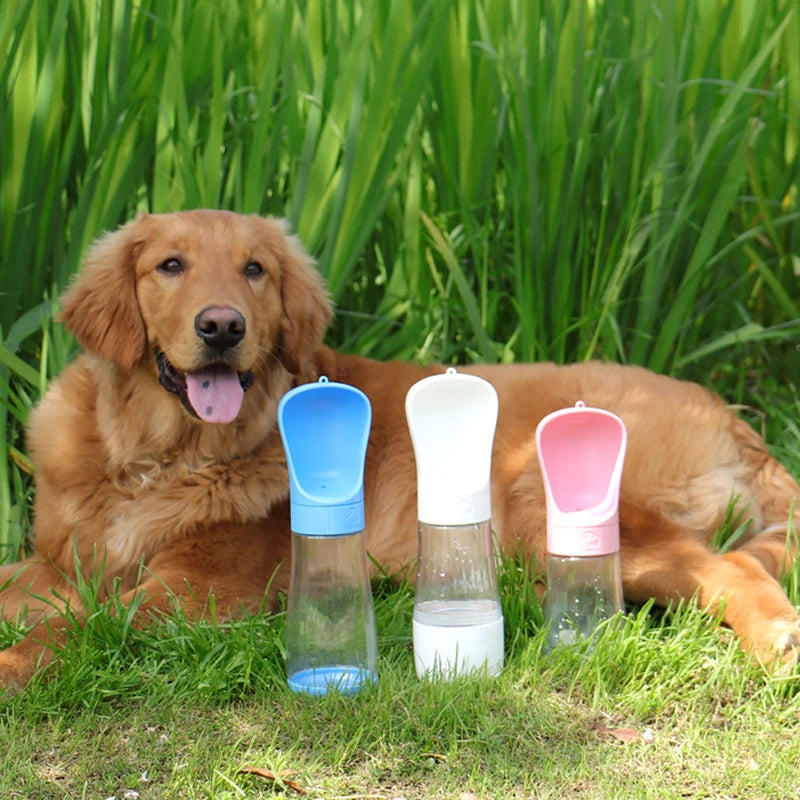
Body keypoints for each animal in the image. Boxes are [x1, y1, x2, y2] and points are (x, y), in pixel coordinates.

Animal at [0, 208, 796, 688]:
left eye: (255, 269)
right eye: (170, 265)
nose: (222, 326)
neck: (156, 458)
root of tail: (734, 420)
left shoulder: (197, 588)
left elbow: (78, 628)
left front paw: (14, 665)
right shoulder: (57, 563)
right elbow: (26, 588)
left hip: (544, 498)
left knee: (726, 566)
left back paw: (774, 638)